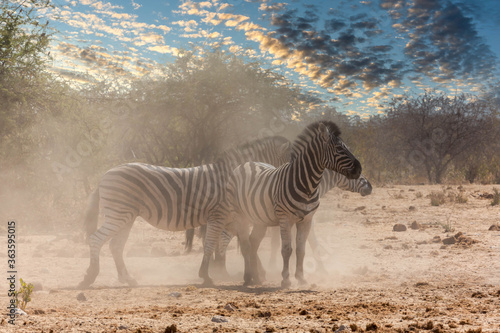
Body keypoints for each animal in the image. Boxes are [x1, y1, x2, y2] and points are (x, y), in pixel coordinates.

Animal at [77, 136, 290, 288]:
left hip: (126, 217)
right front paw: (206, 276)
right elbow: (211, 245)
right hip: (118, 214)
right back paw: (89, 277)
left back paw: (127, 279)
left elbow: (246, 246)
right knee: (96, 239)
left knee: (115, 246)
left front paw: (256, 275)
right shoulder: (219, 215)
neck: (234, 178)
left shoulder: (235, 220)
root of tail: (106, 174)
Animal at [197, 120, 362, 286]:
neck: (307, 185)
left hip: (259, 220)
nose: (359, 169)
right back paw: (247, 276)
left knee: (253, 243)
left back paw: (256, 277)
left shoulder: (306, 220)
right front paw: (286, 279)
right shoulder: (285, 219)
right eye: (339, 148)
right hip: (240, 216)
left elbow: (301, 250)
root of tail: (246, 163)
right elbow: (286, 249)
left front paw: (301, 278)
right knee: (244, 244)